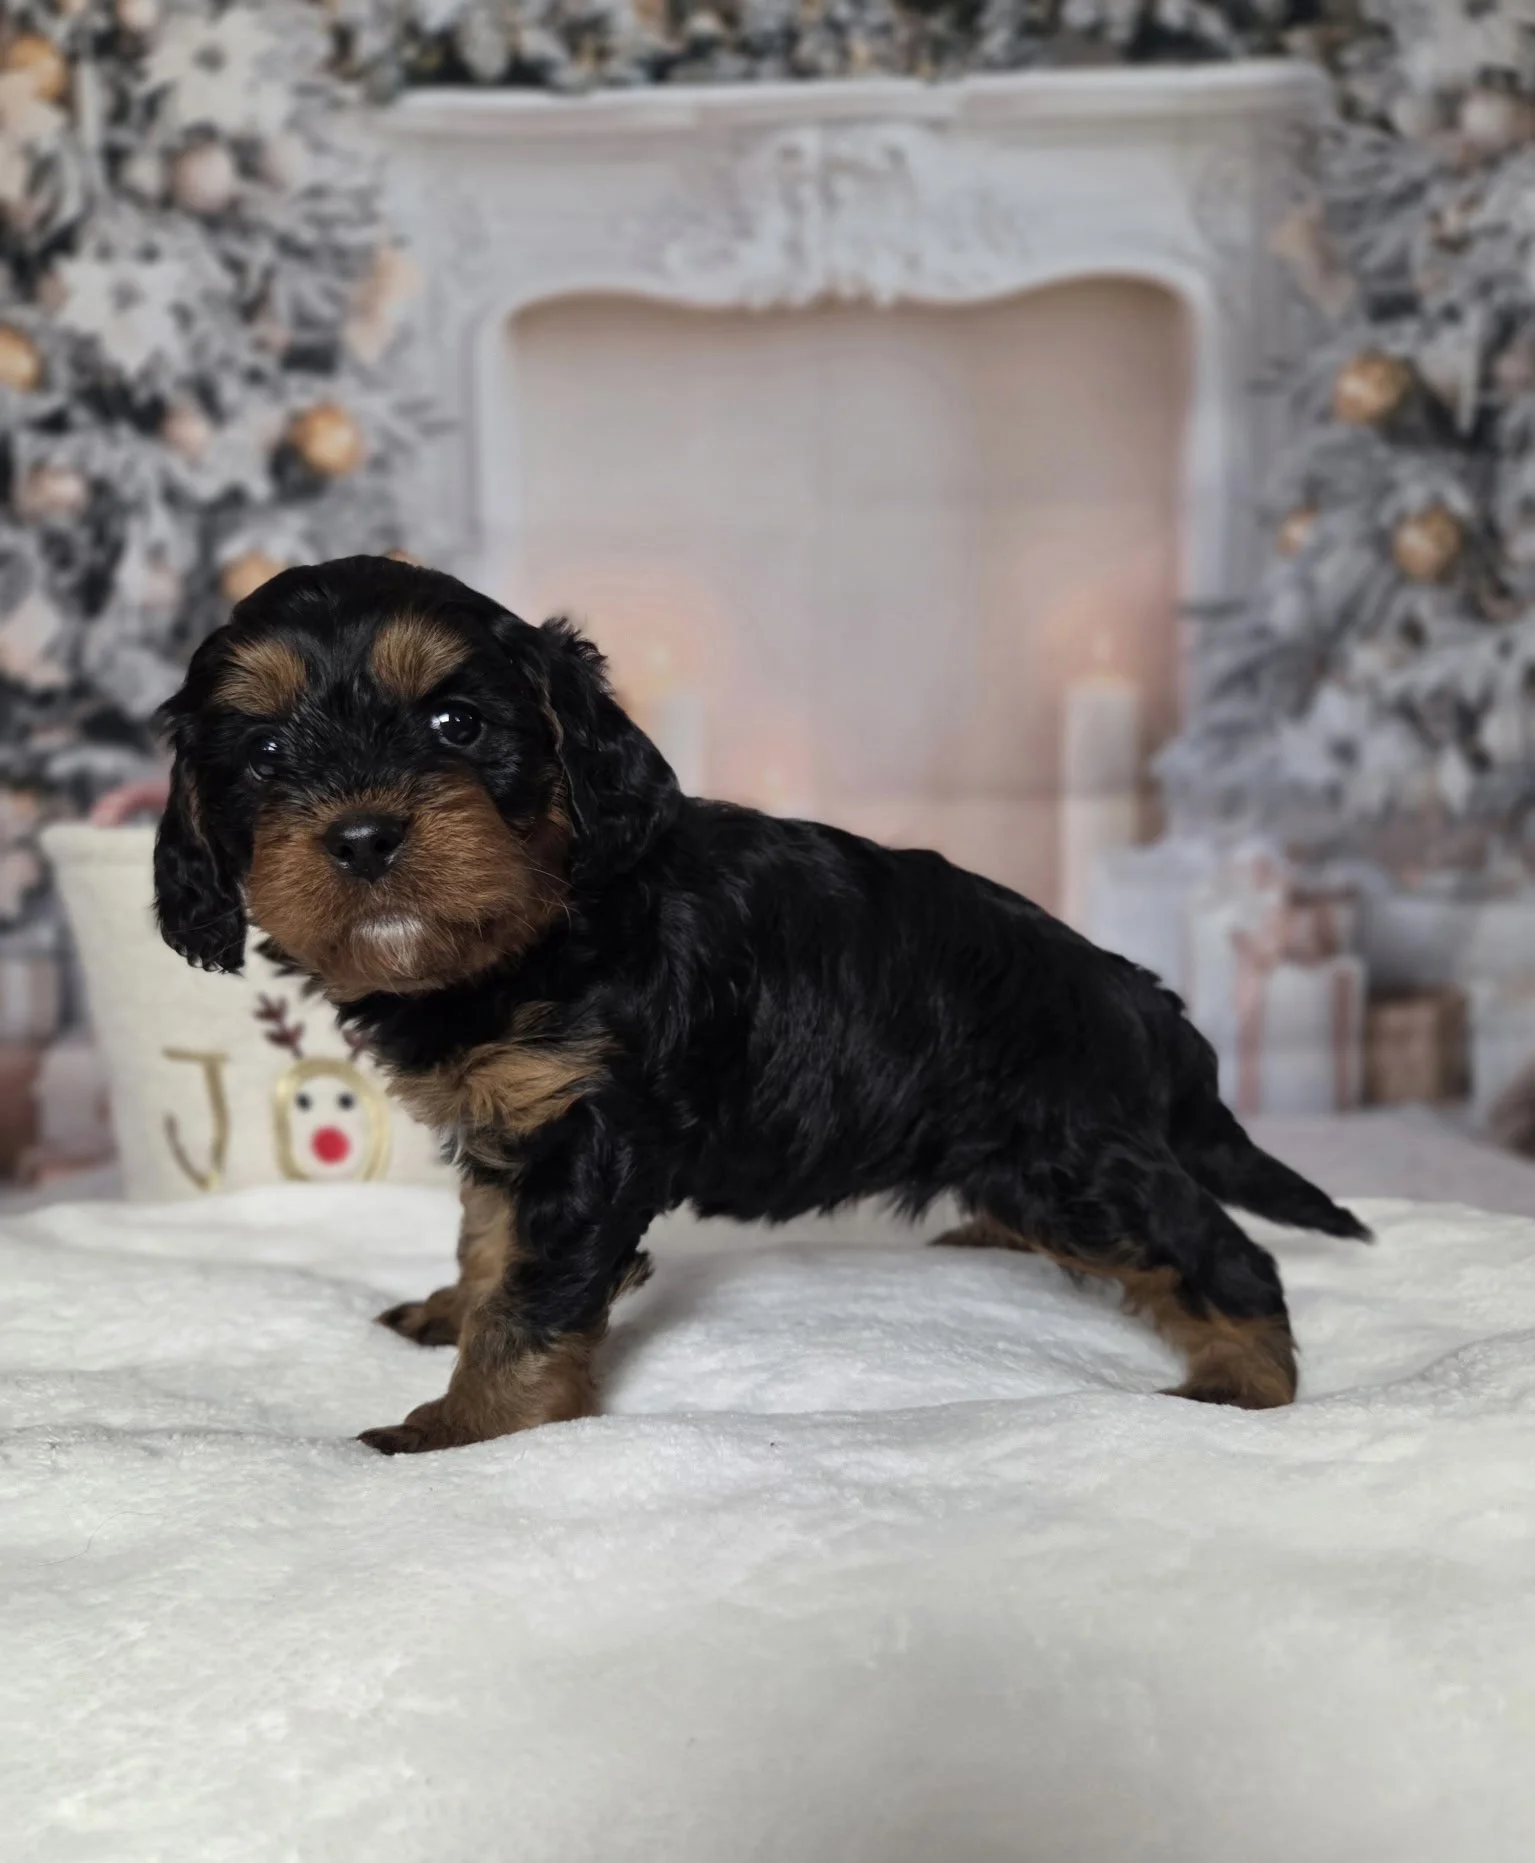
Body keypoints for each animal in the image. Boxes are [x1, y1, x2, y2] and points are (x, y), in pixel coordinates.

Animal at [153, 555, 1369, 1453]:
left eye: (456, 724)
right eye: (263, 751)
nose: (362, 836)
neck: (533, 932)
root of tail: (1134, 992)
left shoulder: (589, 1128)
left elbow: (536, 1295)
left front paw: (467, 1428)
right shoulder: (518, 1123)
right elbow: (491, 1241)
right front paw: (456, 1314)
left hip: (1069, 1160)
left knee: (1221, 1253)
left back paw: (1243, 1383)